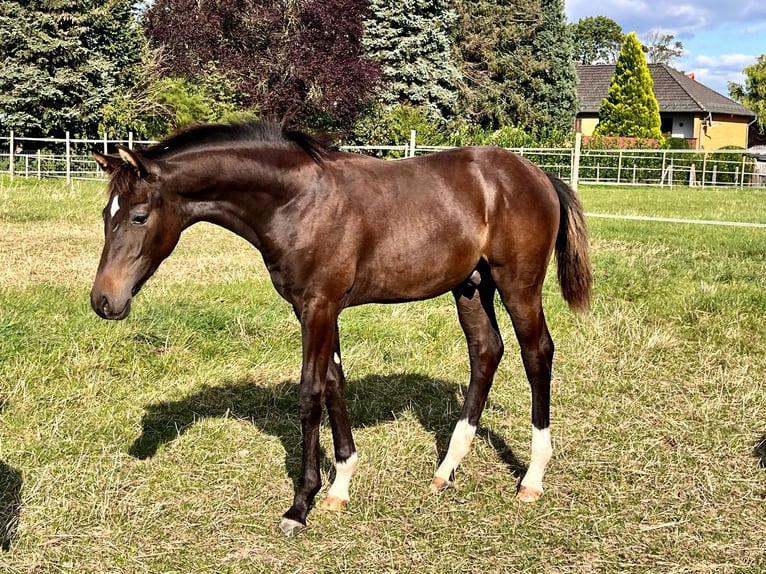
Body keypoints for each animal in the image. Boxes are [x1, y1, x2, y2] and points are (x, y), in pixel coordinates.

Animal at [91, 120, 592, 536]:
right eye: (104, 216)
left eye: (138, 216)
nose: (103, 301)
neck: (298, 201)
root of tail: (537, 174)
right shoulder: (315, 309)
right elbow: (334, 381)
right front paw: (340, 484)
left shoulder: (319, 305)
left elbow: (310, 392)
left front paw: (300, 504)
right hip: (470, 287)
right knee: (485, 351)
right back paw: (446, 470)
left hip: (518, 285)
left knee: (537, 353)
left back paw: (531, 478)